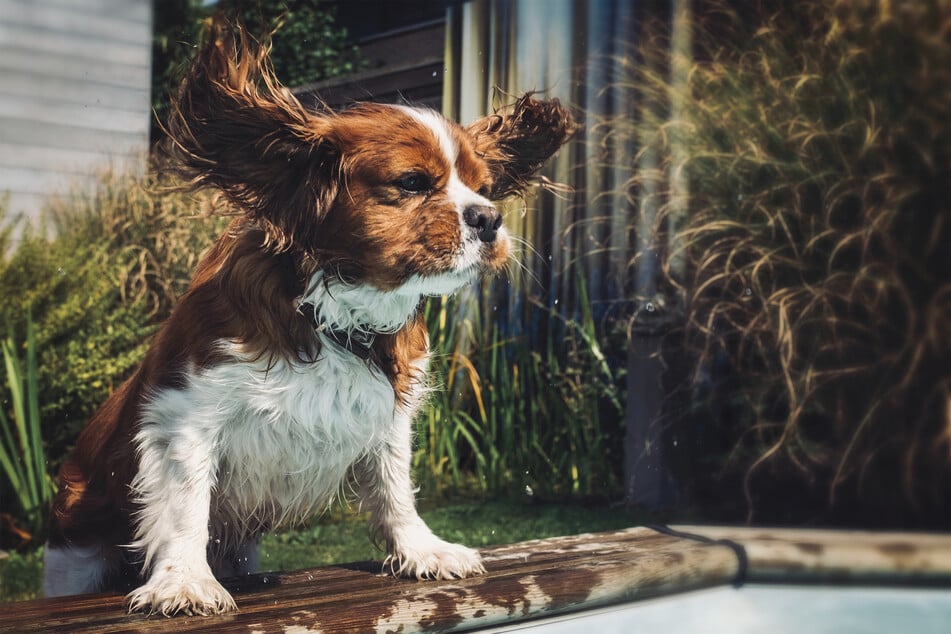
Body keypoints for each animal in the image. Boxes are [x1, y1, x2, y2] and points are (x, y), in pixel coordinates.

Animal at [42, 23, 572, 612]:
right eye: (412, 183)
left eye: (483, 189)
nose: (489, 218)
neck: (336, 312)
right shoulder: (185, 416)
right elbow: (185, 505)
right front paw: (184, 580)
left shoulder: (388, 419)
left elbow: (395, 488)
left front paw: (421, 550)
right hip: (71, 559)